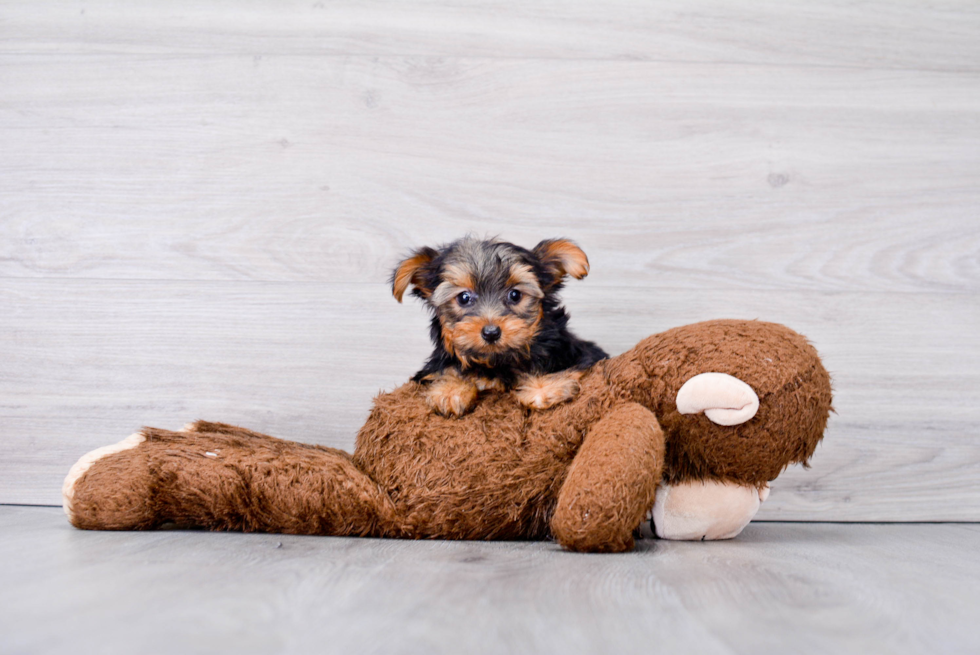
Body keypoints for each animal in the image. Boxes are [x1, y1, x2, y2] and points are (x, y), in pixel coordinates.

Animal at [388, 238, 604, 418]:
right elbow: (447, 371)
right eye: (464, 297)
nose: (491, 333)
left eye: (515, 295)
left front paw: (543, 388)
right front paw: (450, 391)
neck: (496, 361)